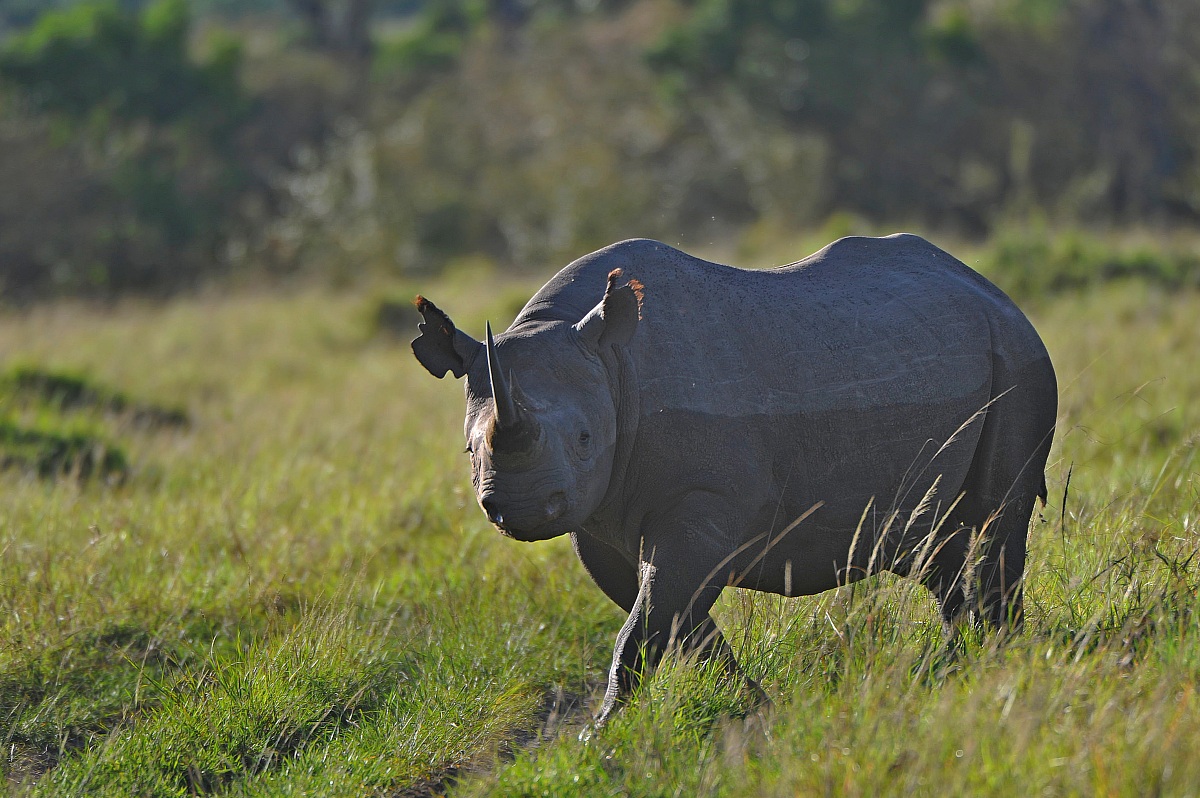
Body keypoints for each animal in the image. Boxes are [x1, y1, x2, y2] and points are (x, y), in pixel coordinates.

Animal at [412, 234, 1057, 723]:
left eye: (585, 439)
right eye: (469, 450)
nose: (518, 509)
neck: (610, 361)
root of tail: (996, 292)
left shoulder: (698, 504)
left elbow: (646, 628)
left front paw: (599, 737)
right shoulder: (598, 519)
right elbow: (674, 623)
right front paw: (758, 706)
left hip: (1018, 355)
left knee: (999, 519)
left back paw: (1000, 665)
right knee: (929, 543)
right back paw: (958, 665)